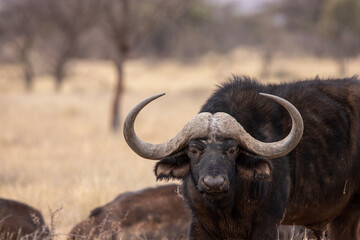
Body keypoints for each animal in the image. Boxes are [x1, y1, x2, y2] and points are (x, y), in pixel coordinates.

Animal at [123, 77, 360, 240]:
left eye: (232, 150)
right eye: (194, 150)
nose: (214, 183)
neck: (226, 206)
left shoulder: (267, 225)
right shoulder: (199, 225)